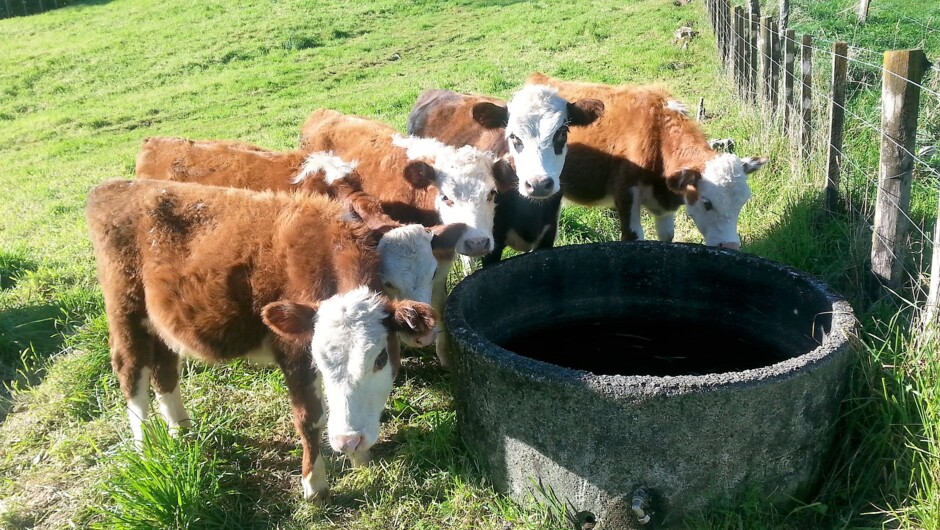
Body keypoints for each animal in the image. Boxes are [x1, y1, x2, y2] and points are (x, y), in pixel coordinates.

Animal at [86, 178, 437, 502]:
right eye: (319, 361)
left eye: (380, 358)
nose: (347, 440)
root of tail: (114, 187)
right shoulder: (293, 352)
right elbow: (309, 418)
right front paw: (314, 485)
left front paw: (359, 459)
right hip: (124, 311)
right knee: (131, 373)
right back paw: (145, 446)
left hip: (160, 325)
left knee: (165, 370)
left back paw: (181, 431)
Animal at [298, 108, 517, 366]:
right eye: (446, 197)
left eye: (492, 193)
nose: (477, 243)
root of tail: (323, 112)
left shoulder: (438, 265)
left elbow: (439, 306)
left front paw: (445, 356)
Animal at [528, 72, 769, 249]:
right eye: (707, 203)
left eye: (742, 202)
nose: (730, 246)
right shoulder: (626, 191)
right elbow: (633, 236)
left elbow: (667, 235)